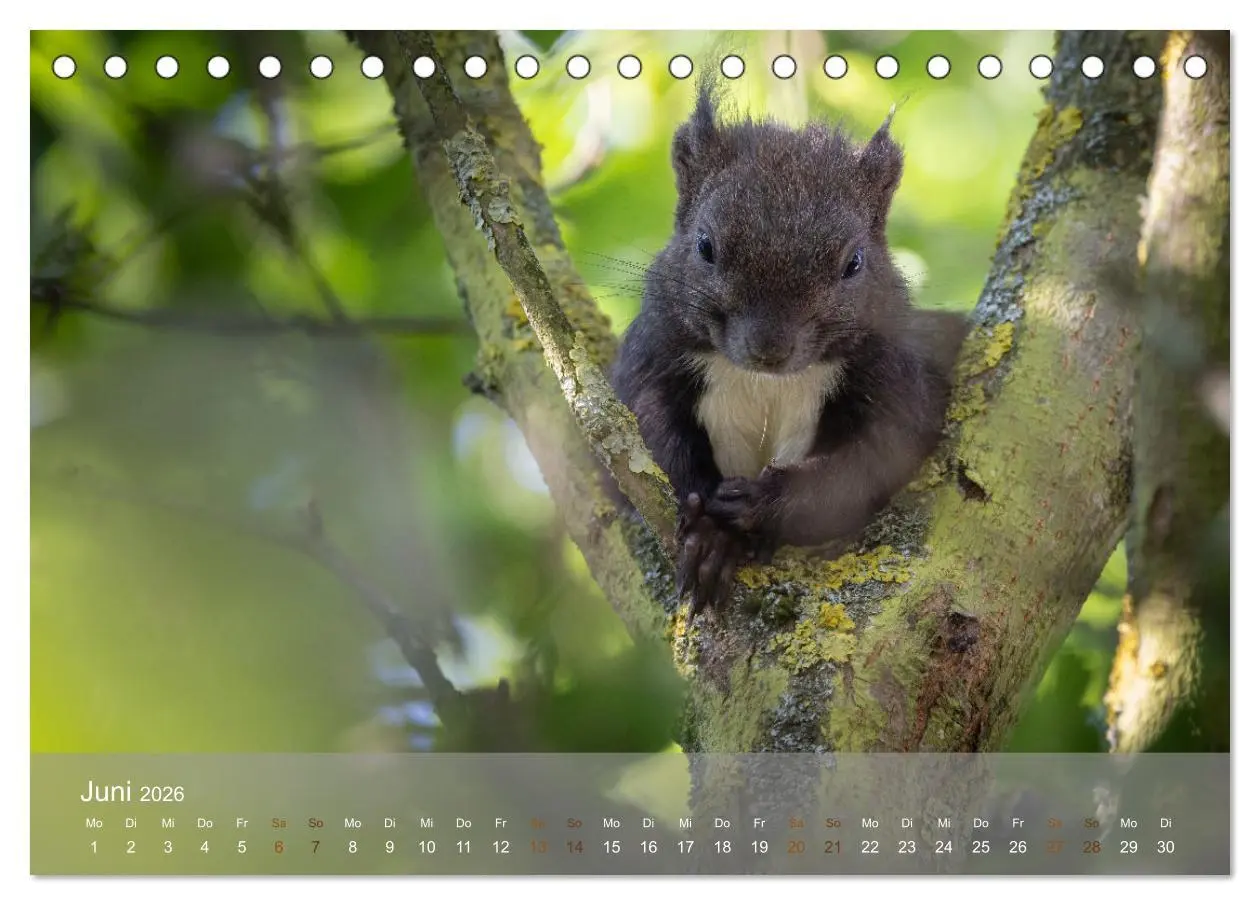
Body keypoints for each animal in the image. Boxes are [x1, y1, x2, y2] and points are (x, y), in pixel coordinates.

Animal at [610, 81, 969, 615]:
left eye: (854, 262)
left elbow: (863, 466)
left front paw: (760, 504)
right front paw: (708, 533)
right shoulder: (651, 361)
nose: (769, 347)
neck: (766, 382)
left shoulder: (897, 385)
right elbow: (652, 438)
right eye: (704, 246)